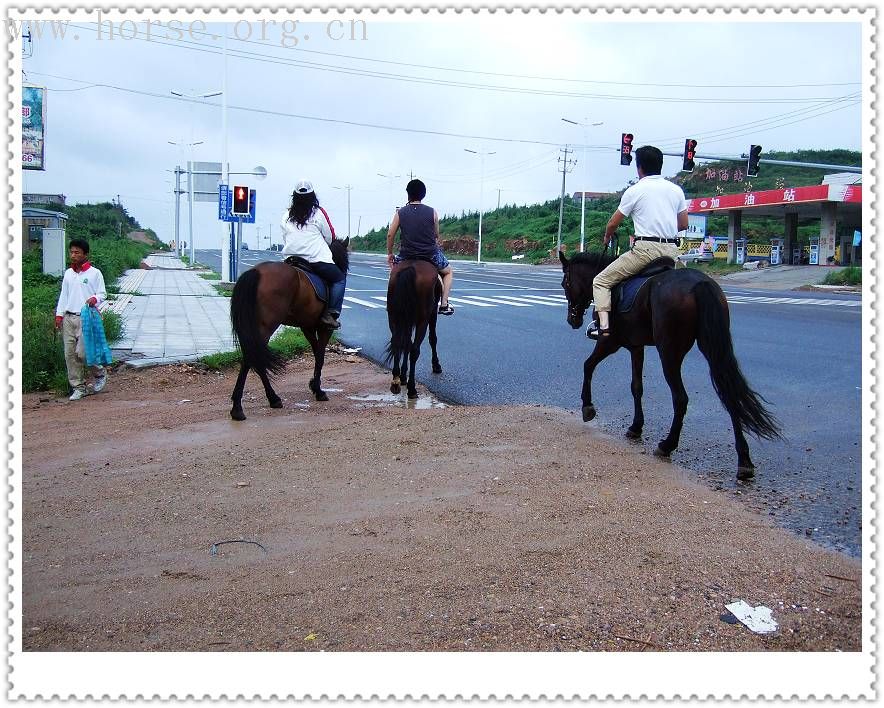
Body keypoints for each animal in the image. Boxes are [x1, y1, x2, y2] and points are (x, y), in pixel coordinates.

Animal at [228, 238, 348, 420]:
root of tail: (256, 272)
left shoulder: (307, 327)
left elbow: (316, 354)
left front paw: (314, 385)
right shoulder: (325, 328)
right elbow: (320, 356)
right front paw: (319, 390)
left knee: (254, 357)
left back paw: (269, 399)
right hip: (266, 326)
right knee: (252, 358)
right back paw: (242, 406)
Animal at [386, 258, 442, 398]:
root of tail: (410, 268)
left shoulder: (407, 320)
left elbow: (406, 342)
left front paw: (403, 375)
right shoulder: (432, 313)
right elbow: (433, 338)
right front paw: (436, 365)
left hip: (393, 316)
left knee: (397, 342)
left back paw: (396, 381)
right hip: (423, 319)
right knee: (415, 350)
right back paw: (412, 388)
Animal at [560, 252, 780, 478]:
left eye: (564, 283)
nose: (572, 320)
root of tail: (700, 283)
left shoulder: (610, 342)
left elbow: (587, 366)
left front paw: (587, 406)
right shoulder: (636, 346)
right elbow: (636, 387)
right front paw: (636, 427)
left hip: (669, 352)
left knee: (681, 398)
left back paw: (668, 445)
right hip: (713, 347)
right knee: (729, 393)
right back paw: (744, 460)